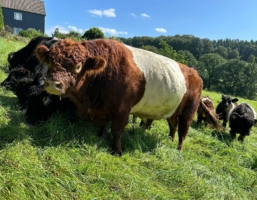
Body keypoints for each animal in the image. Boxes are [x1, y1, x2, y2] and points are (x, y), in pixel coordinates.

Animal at [35, 38, 202, 156]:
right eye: (50, 61)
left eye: (78, 66)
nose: (53, 84)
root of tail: (193, 72)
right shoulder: (102, 107)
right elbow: (104, 125)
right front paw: (102, 136)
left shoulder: (122, 110)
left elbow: (116, 130)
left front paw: (117, 151)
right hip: (174, 111)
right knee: (173, 125)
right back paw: (170, 139)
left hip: (189, 111)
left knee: (183, 131)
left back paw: (178, 149)